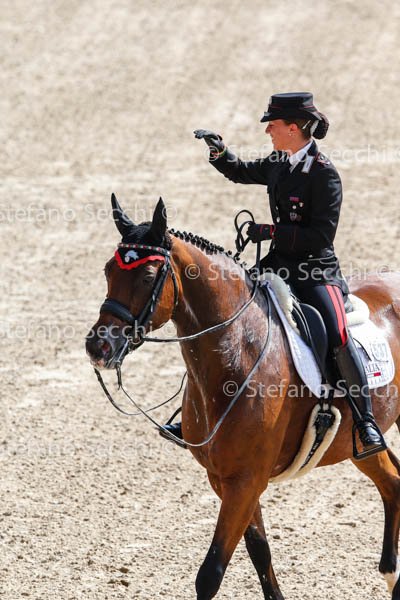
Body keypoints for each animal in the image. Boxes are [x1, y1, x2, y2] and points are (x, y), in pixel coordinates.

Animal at [86, 195, 400, 600]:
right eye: (109, 270)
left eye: (147, 276)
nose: (98, 347)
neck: (236, 352)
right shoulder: (225, 479)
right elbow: (259, 550)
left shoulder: (246, 480)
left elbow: (210, 573)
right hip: (354, 444)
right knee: (393, 482)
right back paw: (392, 576)